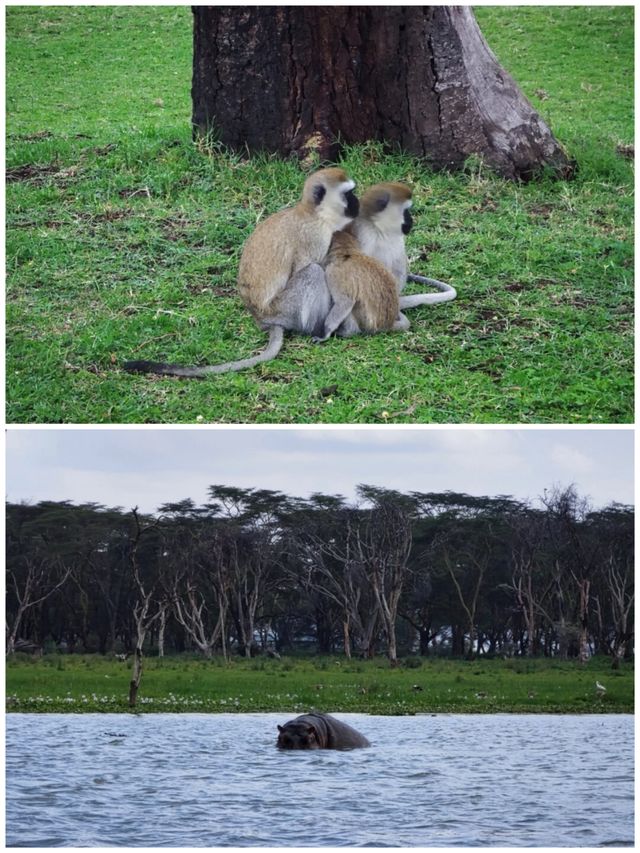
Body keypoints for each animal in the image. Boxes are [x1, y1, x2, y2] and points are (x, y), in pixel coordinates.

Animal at [122, 170, 358, 376]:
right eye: (347, 194)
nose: (356, 204)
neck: (314, 213)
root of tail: (262, 319)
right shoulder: (314, 237)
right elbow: (308, 267)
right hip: (283, 308)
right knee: (313, 272)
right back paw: (318, 329)